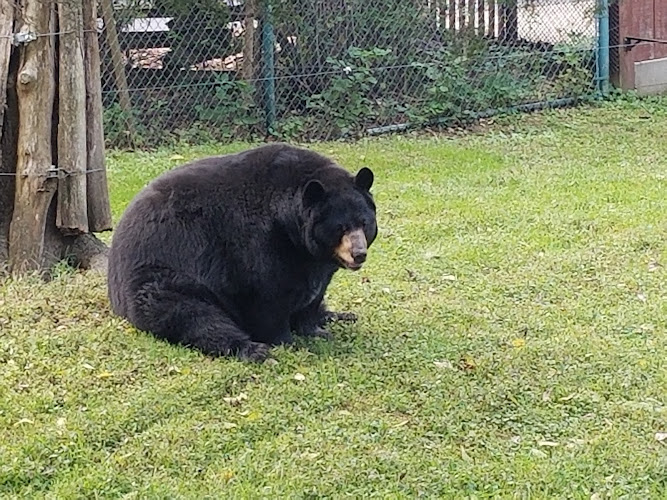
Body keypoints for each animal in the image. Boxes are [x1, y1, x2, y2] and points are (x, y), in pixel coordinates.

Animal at [107, 143, 378, 362]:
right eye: (340, 227)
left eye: (364, 223)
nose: (359, 254)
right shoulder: (259, 242)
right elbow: (267, 295)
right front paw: (288, 341)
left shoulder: (313, 262)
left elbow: (314, 295)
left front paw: (315, 329)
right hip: (163, 277)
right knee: (193, 316)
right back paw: (254, 350)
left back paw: (340, 315)